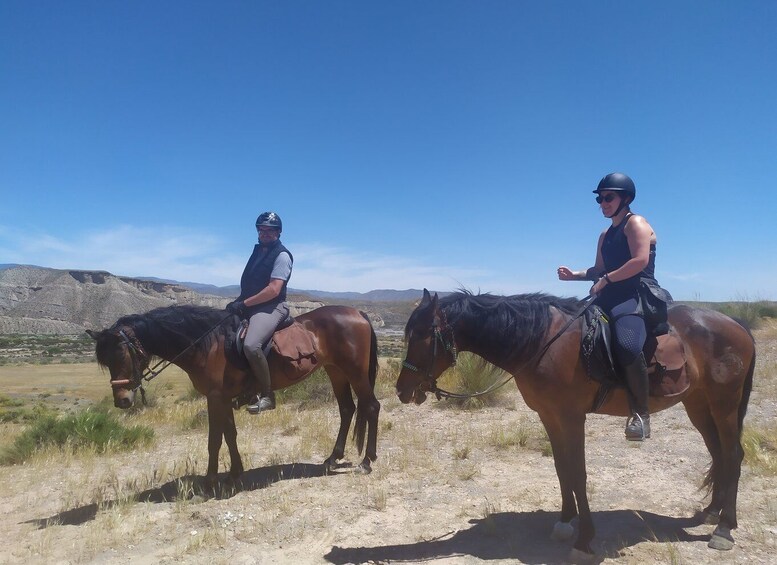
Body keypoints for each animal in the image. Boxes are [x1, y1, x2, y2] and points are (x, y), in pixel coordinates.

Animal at [89, 302, 380, 486]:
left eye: (122, 355)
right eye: (105, 361)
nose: (122, 400)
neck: (206, 345)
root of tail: (359, 313)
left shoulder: (215, 397)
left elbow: (214, 439)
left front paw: (210, 481)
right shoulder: (222, 398)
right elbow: (229, 435)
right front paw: (235, 473)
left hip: (354, 372)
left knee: (371, 407)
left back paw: (367, 461)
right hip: (336, 371)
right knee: (347, 409)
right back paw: (332, 459)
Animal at [394, 288, 752, 560]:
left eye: (423, 335)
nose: (402, 390)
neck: (542, 343)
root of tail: (737, 324)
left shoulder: (571, 417)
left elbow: (578, 473)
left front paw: (585, 539)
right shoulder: (549, 416)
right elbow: (561, 468)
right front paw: (566, 522)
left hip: (724, 404)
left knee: (733, 455)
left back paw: (724, 529)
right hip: (698, 404)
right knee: (719, 453)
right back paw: (711, 512)